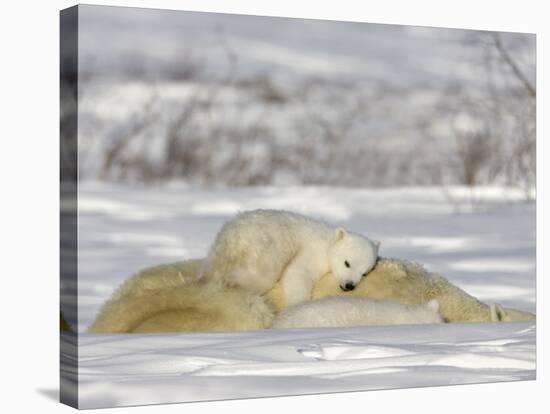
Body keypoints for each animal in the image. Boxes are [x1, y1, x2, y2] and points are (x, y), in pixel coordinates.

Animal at [201, 210, 382, 308]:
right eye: (347, 263)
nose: (349, 286)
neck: (328, 241)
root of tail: (231, 238)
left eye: (364, 273)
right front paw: (299, 304)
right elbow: (298, 272)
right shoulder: (312, 252)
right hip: (265, 247)